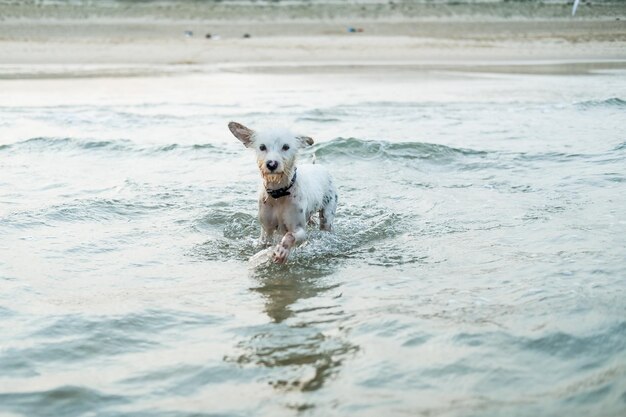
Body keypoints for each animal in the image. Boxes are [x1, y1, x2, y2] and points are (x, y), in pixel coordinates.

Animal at [228, 121, 336, 264]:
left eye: (286, 147)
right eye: (262, 147)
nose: (272, 164)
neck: (278, 195)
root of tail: (316, 165)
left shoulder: (299, 230)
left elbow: (290, 236)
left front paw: (282, 251)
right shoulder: (266, 230)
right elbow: (265, 242)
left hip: (327, 215)